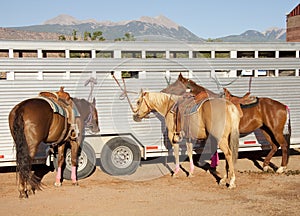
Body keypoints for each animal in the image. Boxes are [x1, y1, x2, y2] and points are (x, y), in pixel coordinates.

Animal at [162, 73, 290, 173]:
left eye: (175, 84)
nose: (163, 91)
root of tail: (283, 106)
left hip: (276, 131)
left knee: (283, 145)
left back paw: (281, 168)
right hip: (265, 130)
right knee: (274, 146)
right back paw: (265, 166)